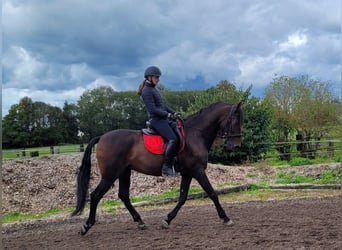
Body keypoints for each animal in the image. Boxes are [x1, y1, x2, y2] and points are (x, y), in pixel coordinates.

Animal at [72, 100, 243, 235]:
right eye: (235, 122)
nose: (235, 146)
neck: (196, 134)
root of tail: (102, 137)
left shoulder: (188, 173)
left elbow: (182, 197)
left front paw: (167, 220)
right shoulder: (198, 171)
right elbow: (212, 193)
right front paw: (226, 218)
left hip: (124, 172)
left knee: (124, 195)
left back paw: (140, 222)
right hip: (110, 175)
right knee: (95, 195)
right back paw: (86, 226)